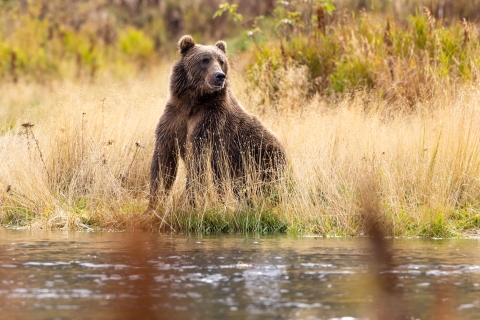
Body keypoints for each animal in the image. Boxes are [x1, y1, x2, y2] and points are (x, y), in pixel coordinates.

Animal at [146, 35, 284, 210]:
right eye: (205, 60)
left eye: (222, 61)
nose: (220, 75)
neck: (193, 102)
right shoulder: (174, 117)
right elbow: (163, 160)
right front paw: (154, 204)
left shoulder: (210, 121)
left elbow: (198, 161)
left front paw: (187, 202)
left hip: (262, 159)